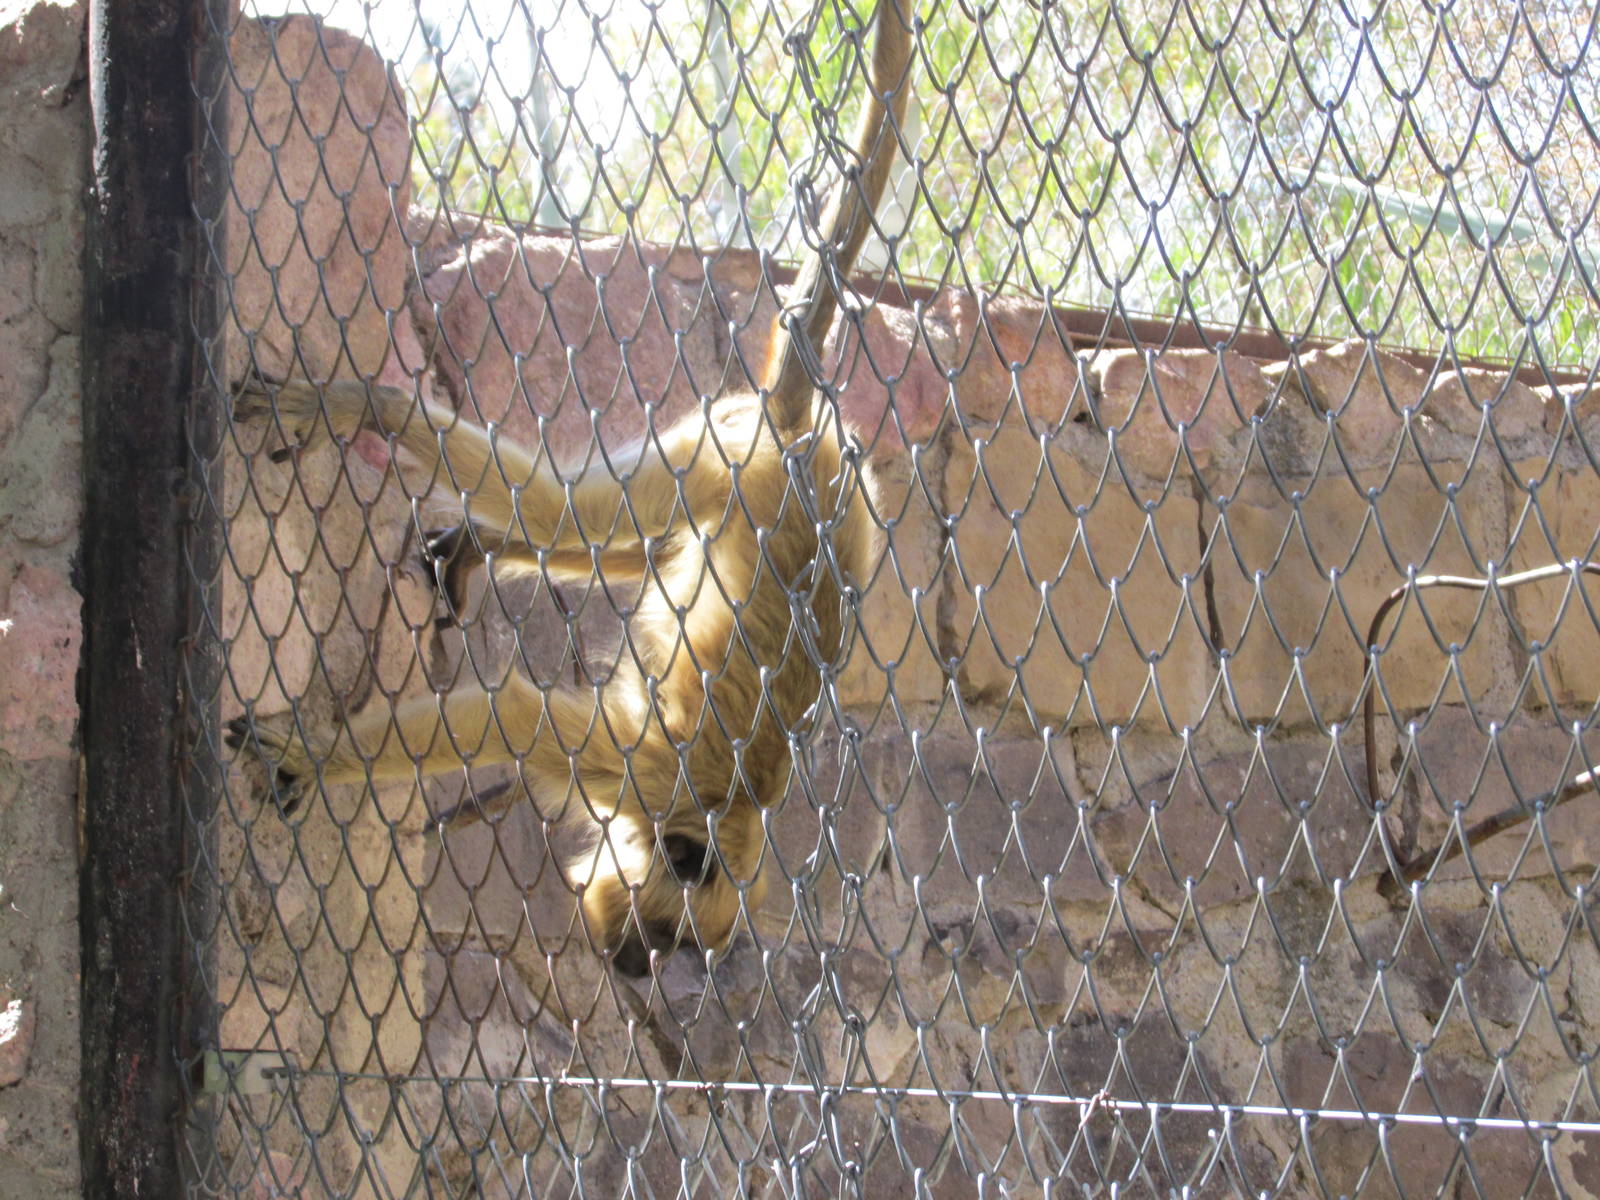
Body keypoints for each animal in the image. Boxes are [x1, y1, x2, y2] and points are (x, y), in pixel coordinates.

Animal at [227, 0, 912, 978]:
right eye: (666, 935)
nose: (635, 965)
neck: (725, 810)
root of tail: (807, 435)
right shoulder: (649, 771)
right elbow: (513, 715)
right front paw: (319, 757)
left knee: (621, 546)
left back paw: (479, 543)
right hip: (731, 454)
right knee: (576, 514)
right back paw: (375, 410)